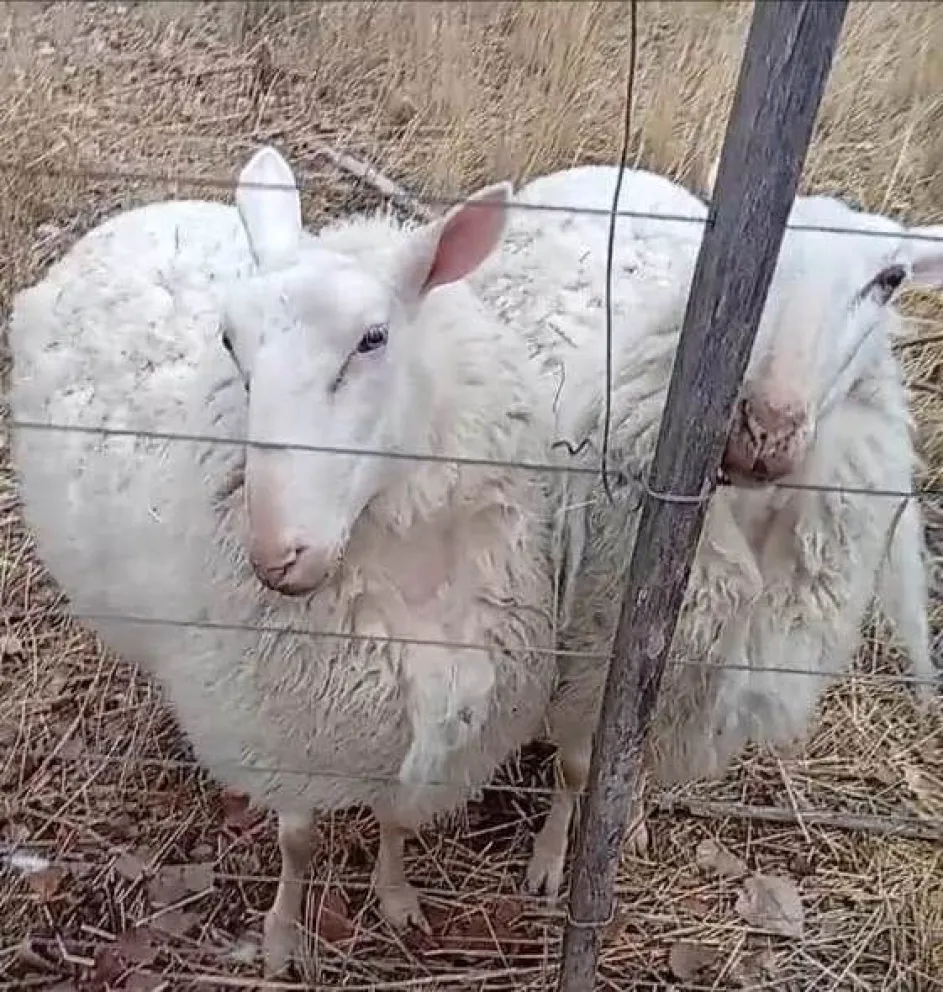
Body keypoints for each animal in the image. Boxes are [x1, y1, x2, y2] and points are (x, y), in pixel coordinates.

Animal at [9, 145, 559, 973]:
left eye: (373, 339)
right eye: (229, 342)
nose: (275, 555)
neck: (404, 569)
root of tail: (141, 209)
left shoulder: (432, 716)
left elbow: (396, 821)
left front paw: (396, 900)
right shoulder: (285, 730)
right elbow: (297, 841)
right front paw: (281, 938)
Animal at [474, 164, 943, 900]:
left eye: (890, 279)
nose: (766, 430)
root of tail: (616, 169)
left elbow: (628, 759)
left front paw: (627, 821)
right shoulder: (595, 645)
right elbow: (577, 765)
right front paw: (550, 863)